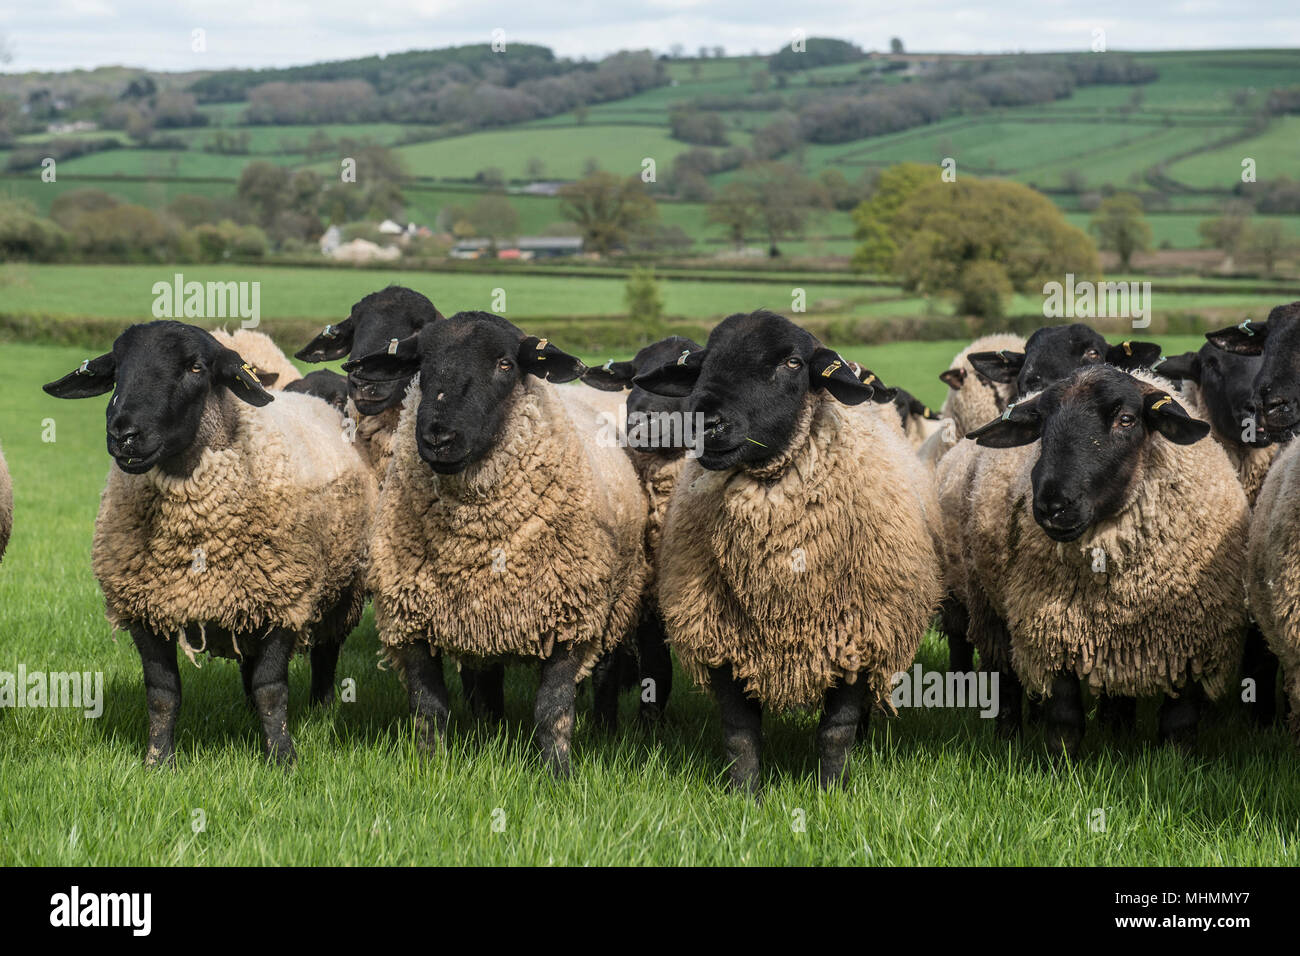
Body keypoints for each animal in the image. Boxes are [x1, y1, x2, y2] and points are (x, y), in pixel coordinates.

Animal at [41, 325, 377, 764]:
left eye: (196, 367)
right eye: (116, 370)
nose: (124, 434)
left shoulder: (284, 599)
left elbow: (272, 690)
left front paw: (282, 758)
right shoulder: (147, 608)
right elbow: (162, 694)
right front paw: (158, 762)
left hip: (341, 587)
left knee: (326, 651)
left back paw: (321, 707)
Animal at [345, 314, 650, 780]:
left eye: (506, 364)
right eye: (421, 363)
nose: (439, 437)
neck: (476, 540)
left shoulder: (572, 615)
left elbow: (553, 709)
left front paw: (558, 774)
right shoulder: (409, 615)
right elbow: (428, 708)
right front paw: (430, 767)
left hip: (620, 597)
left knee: (606, 673)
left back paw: (605, 726)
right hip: (481, 618)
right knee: (486, 681)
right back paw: (490, 729)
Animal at [634, 312, 941, 790]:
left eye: (793, 362)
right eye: (705, 359)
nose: (704, 422)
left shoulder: (858, 632)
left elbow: (836, 731)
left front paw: (832, 791)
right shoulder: (721, 636)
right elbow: (739, 733)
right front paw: (745, 796)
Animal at [946, 364, 1248, 754]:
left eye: (1126, 419)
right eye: (1041, 423)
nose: (1052, 506)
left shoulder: (1192, 637)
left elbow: (1179, 721)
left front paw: (1177, 761)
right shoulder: (1054, 626)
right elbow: (1064, 719)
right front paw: (1059, 764)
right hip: (988, 603)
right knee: (1005, 678)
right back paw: (1008, 736)